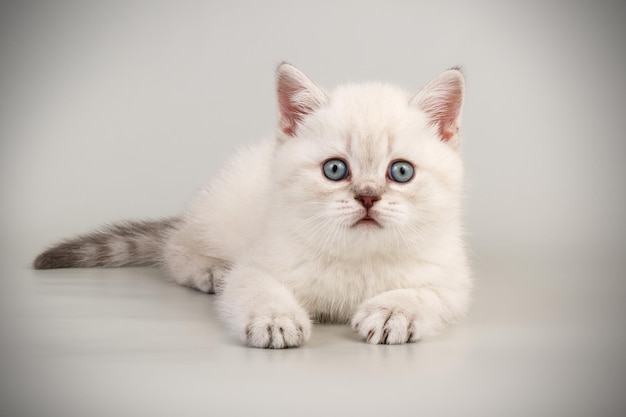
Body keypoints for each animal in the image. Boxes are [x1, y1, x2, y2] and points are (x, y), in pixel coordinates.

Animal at [34, 62, 470, 348]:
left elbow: (428, 293)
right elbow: (255, 287)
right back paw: (209, 270)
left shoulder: (452, 277)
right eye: (335, 169)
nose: (367, 196)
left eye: (400, 171)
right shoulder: (259, 262)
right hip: (212, 214)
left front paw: (393, 311)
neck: (357, 260)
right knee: (175, 247)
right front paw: (275, 319)